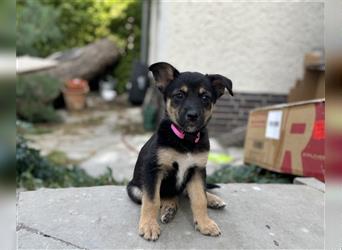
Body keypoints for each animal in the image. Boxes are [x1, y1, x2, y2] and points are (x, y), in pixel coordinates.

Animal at [127, 62, 234, 240]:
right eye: (179, 95)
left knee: (189, 193)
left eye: (205, 97)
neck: (186, 140)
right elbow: (152, 201)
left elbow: (199, 198)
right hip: (134, 189)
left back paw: (213, 200)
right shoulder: (153, 169)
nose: (192, 115)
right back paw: (169, 208)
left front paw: (205, 223)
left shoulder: (197, 170)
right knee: (163, 196)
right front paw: (149, 225)